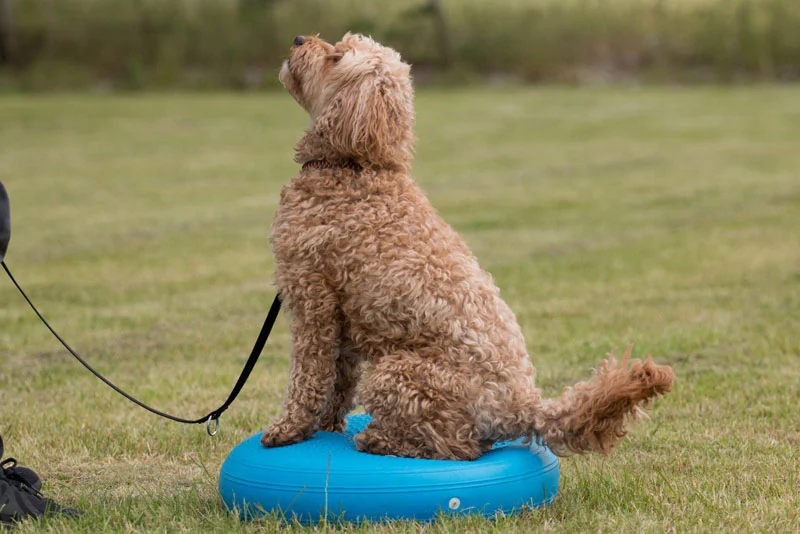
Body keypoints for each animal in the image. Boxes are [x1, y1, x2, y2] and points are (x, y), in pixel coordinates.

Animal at [264, 33, 676, 462]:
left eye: (337, 57)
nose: (298, 39)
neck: (354, 168)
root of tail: (521, 404)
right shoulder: (342, 313)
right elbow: (338, 381)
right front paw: (325, 427)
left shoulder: (311, 296)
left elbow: (308, 374)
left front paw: (287, 429)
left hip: (398, 374)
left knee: (458, 447)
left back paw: (381, 440)